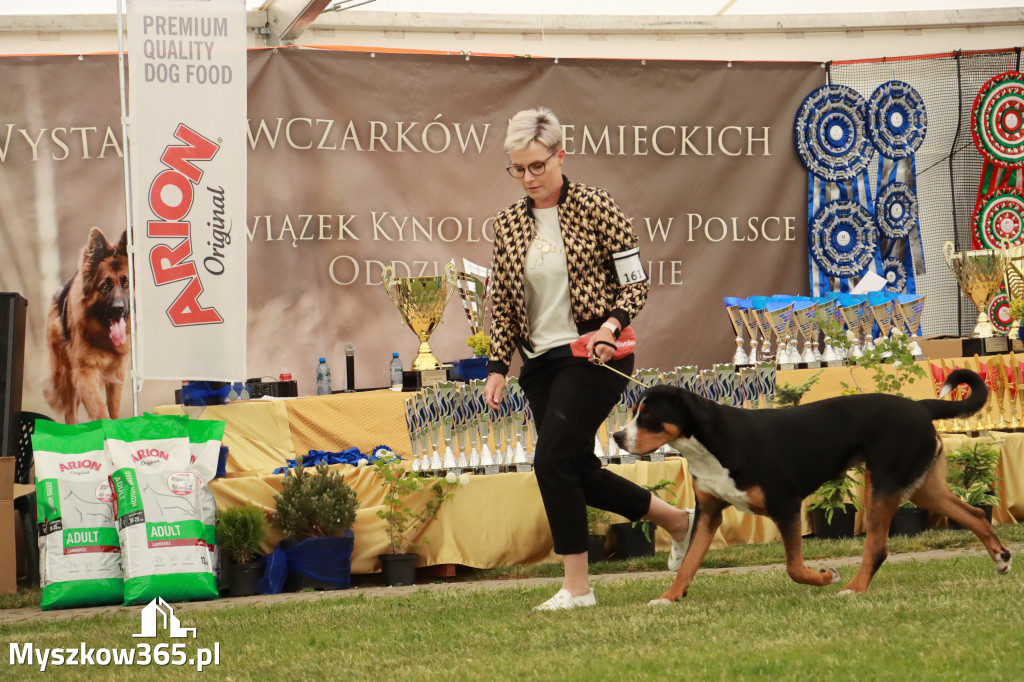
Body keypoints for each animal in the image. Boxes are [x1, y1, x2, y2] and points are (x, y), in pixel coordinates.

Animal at [614, 368, 1007, 602]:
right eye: (633, 413)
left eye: (648, 416)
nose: (617, 437)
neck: (712, 446)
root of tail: (919, 406)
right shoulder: (710, 513)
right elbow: (690, 563)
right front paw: (668, 597)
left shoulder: (785, 504)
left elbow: (794, 567)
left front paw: (826, 576)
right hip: (922, 485)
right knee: (975, 514)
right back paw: (1002, 558)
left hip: (883, 485)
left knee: (878, 547)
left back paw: (852, 589)